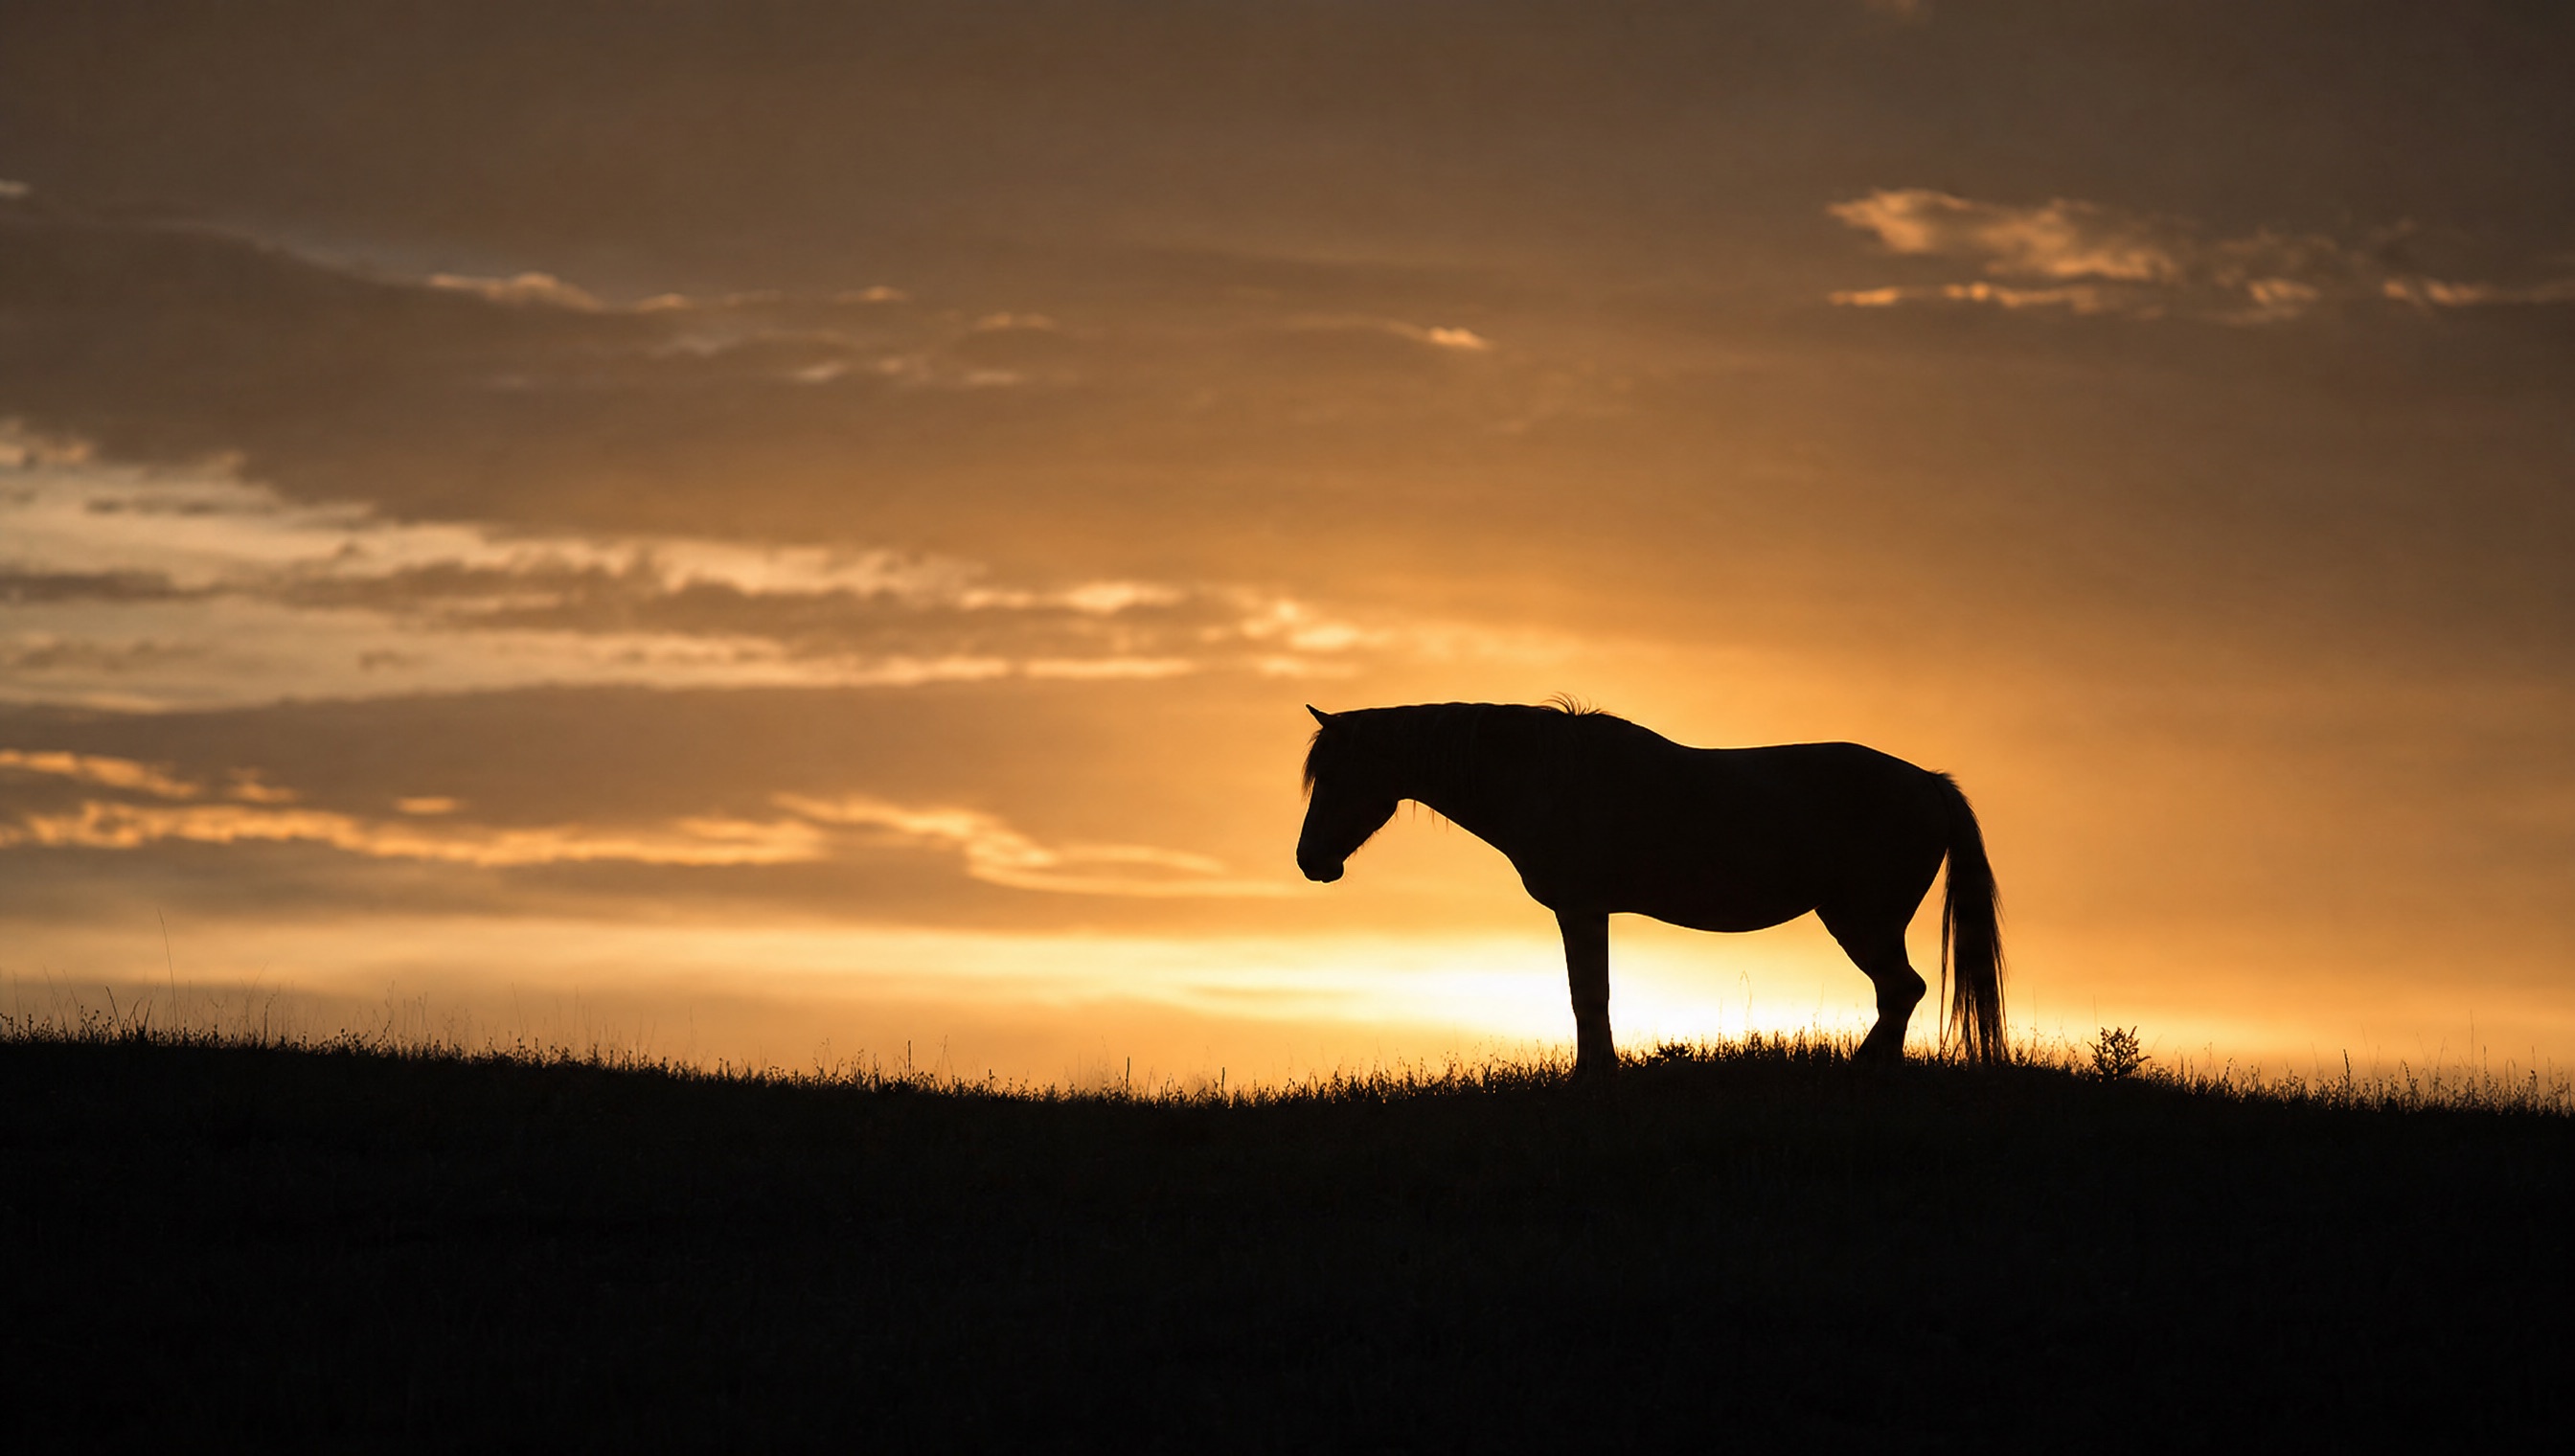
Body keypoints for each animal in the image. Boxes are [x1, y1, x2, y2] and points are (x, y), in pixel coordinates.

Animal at [1294, 701, 2004, 1073]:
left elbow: (1589, 996)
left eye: (1336, 775)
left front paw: (1593, 1077)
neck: (1547, 779)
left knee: (1901, 990)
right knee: (1899, 992)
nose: (1309, 862)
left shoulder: (1581, 908)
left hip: (1864, 918)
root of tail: (1929, 783)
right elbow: (1592, 995)